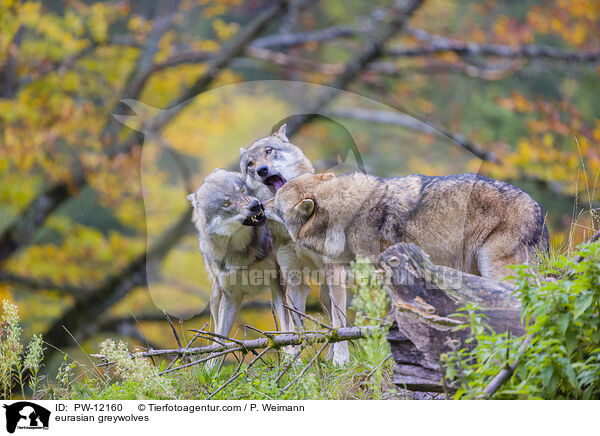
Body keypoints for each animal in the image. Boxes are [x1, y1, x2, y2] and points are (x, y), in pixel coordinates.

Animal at [240, 123, 352, 364]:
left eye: (269, 151)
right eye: (250, 165)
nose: (262, 170)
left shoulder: (334, 271)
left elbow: (339, 323)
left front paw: (341, 360)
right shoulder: (293, 278)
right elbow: (295, 324)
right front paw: (296, 358)